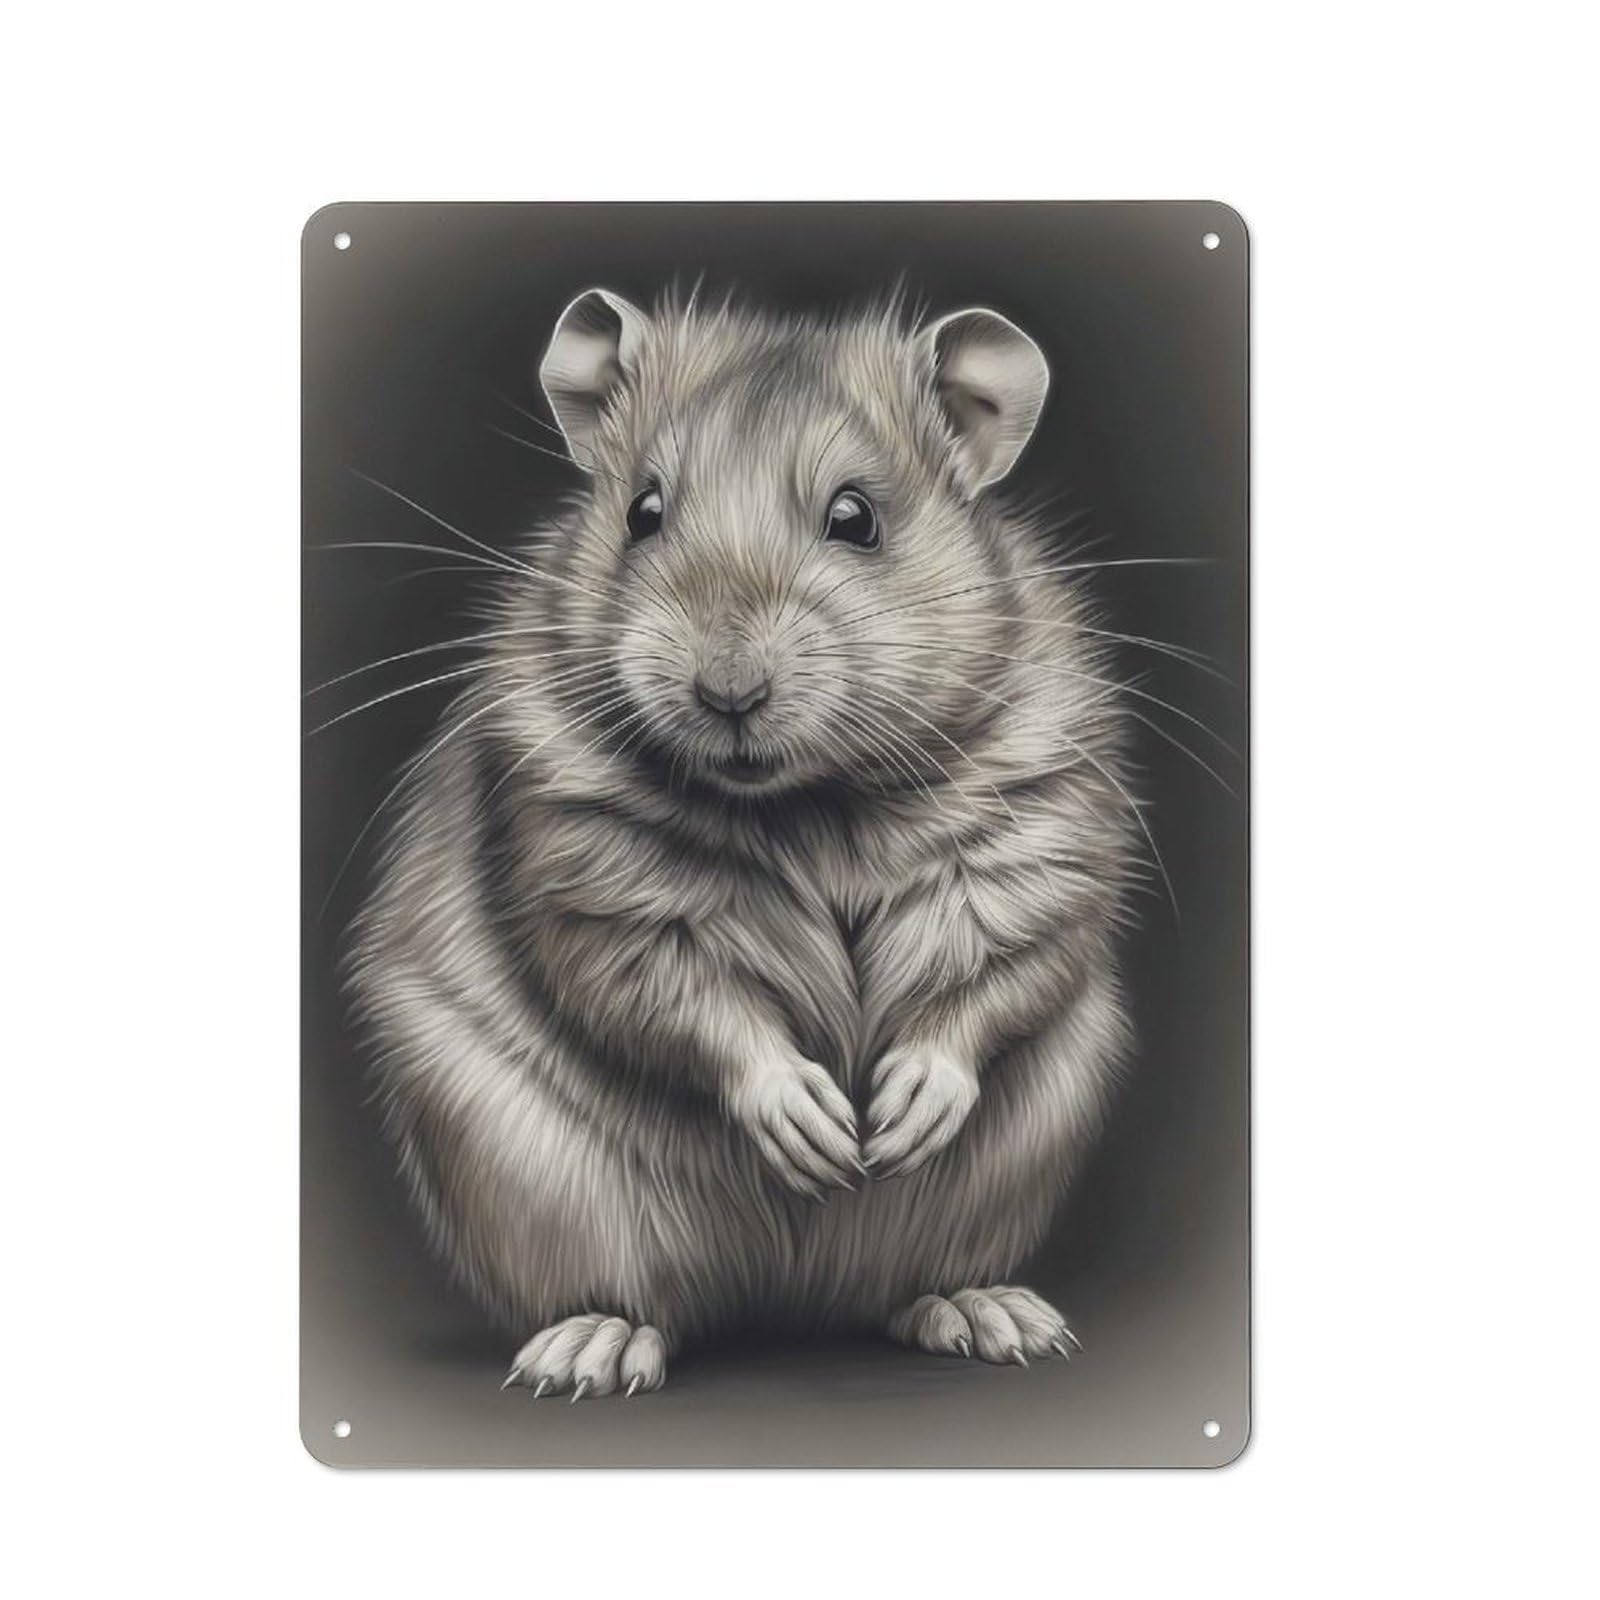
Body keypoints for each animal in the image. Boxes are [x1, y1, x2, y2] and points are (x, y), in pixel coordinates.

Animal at [346, 287, 1140, 1398]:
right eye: (642, 512)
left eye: (856, 518)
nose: (727, 693)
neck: (812, 802)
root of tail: (791, 1300)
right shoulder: (595, 876)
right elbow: (684, 998)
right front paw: (814, 1127)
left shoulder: (1034, 835)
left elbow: (999, 966)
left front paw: (898, 1112)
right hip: (526, 1176)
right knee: (639, 1295)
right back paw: (590, 1346)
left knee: (908, 1287)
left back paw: (986, 1310)